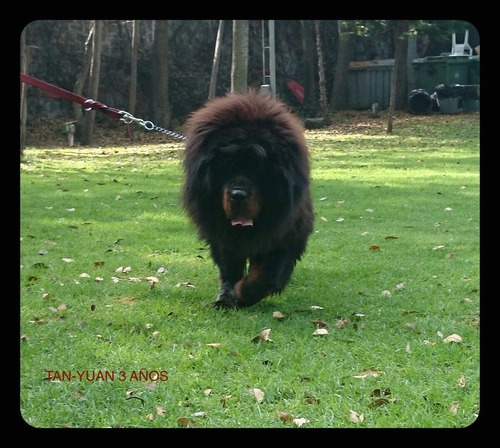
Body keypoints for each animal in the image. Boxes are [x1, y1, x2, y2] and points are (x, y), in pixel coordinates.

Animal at [182, 92, 312, 308]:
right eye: (226, 168)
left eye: (259, 170)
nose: (238, 195)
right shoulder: (222, 236)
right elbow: (230, 270)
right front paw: (225, 298)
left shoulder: (284, 236)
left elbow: (264, 277)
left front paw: (241, 294)